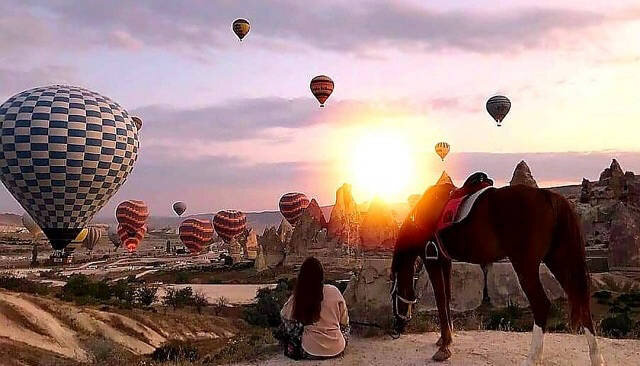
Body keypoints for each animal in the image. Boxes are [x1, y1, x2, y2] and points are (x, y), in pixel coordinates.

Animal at [390, 182, 604, 364]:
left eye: (393, 296)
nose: (397, 328)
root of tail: (547, 195)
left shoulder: (432, 260)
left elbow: (441, 300)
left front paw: (444, 347)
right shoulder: (445, 261)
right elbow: (447, 297)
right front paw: (445, 338)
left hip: (525, 264)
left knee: (541, 304)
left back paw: (532, 358)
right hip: (558, 260)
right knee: (581, 299)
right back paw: (596, 358)